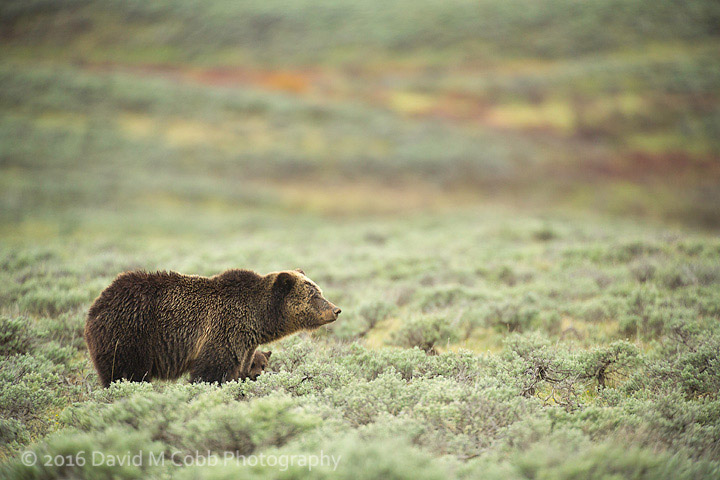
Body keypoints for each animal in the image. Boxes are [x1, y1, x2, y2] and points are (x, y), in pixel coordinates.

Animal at [85, 268, 340, 388]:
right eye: (314, 294)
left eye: (319, 290)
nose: (336, 310)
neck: (257, 319)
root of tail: (97, 303)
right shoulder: (223, 331)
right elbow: (211, 372)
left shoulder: (244, 345)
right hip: (131, 334)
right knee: (125, 373)